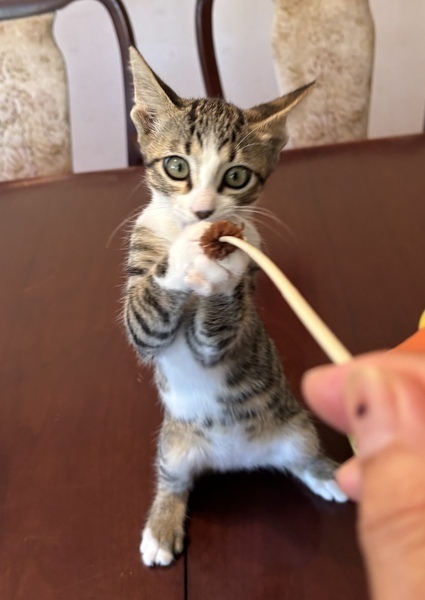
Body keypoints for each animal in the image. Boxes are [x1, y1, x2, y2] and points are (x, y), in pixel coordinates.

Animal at [124, 47, 347, 568]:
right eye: (176, 167)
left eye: (236, 175)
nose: (205, 213)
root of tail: (234, 461)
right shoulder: (142, 301)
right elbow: (144, 320)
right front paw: (186, 254)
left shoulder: (230, 320)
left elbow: (216, 336)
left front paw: (221, 270)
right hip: (174, 442)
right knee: (172, 479)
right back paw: (161, 528)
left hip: (295, 427)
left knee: (301, 457)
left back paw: (329, 474)